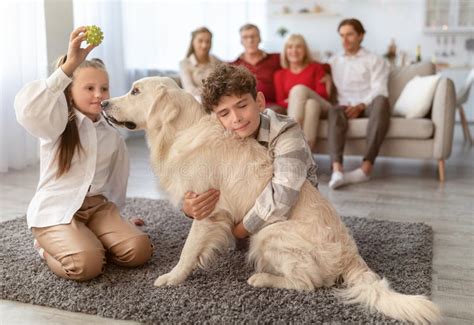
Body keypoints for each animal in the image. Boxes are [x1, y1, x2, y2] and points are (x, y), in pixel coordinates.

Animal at [103, 77, 440, 322]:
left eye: (135, 91)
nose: (104, 102)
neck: (182, 131)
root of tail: (350, 254)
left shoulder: (208, 212)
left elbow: (187, 252)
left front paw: (172, 278)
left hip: (268, 234)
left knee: (307, 283)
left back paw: (262, 278)